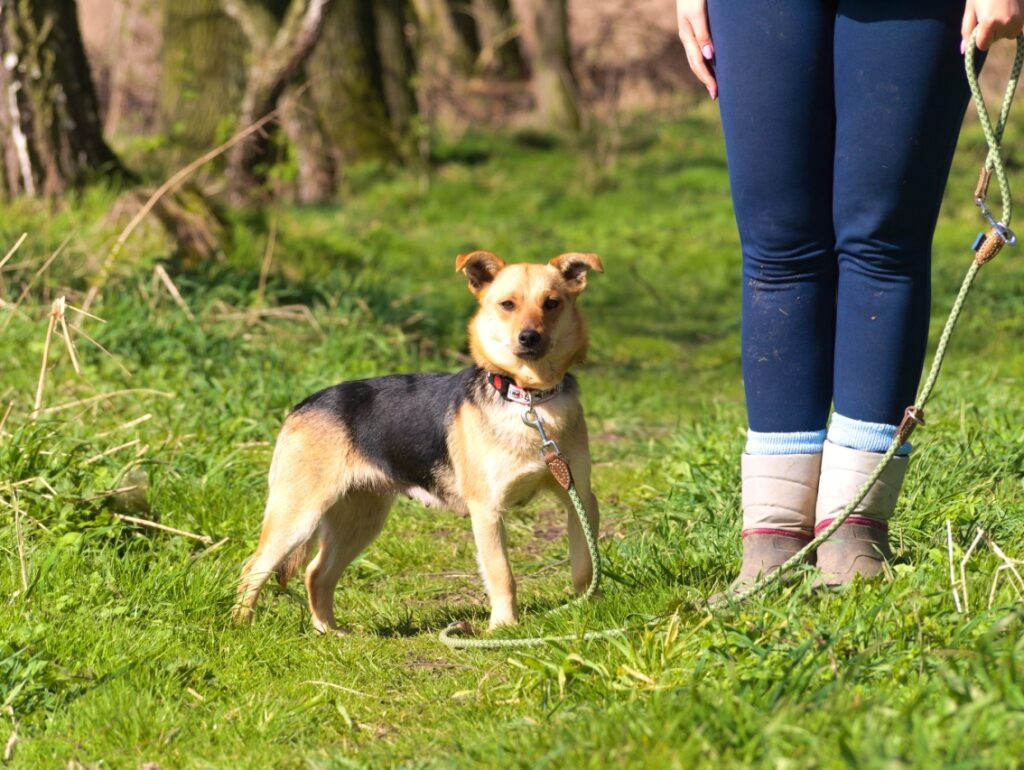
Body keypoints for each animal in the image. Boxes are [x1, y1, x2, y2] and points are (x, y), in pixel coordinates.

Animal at [235, 250, 602, 630]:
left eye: (552, 303)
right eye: (507, 304)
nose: (529, 337)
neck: (529, 398)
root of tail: (302, 406)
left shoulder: (579, 497)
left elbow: (586, 564)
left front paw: (588, 609)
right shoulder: (487, 511)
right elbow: (502, 574)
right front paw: (504, 627)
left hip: (360, 519)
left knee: (316, 573)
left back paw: (329, 632)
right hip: (298, 514)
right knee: (254, 568)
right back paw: (242, 627)